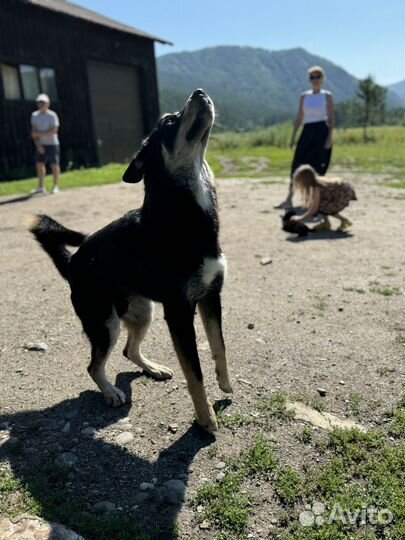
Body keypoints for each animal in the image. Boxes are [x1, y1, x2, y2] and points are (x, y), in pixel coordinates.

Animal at [29, 89, 230, 434]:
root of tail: (72, 264)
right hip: (104, 322)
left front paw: (225, 384)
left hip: (142, 311)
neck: (183, 215)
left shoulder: (211, 296)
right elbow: (194, 372)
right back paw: (110, 392)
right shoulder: (179, 313)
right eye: (169, 121)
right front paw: (205, 418)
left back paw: (152, 368)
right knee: (94, 365)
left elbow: (219, 347)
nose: (199, 92)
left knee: (128, 350)